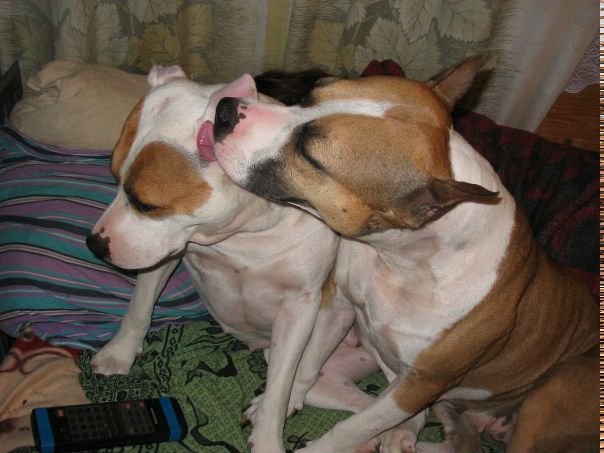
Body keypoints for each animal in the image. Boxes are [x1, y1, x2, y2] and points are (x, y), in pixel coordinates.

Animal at [86, 65, 380, 453]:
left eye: (145, 204)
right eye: (114, 178)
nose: (94, 244)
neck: (246, 231)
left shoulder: (299, 307)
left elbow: (278, 389)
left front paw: (268, 440)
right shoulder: (164, 251)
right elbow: (139, 306)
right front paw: (119, 353)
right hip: (333, 380)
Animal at [212, 56, 599, 453]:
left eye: (309, 154)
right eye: (308, 94)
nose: (224, 108)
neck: (406, 261)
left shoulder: (420, 385)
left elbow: (354, 428)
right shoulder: (338, 306)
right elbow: (305, 367)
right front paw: (280, 403)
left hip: (552, 391)